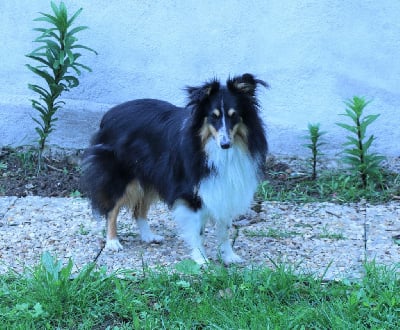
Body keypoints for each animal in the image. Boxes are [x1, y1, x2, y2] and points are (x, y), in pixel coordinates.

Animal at [80, 73, 268, 264]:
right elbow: (197, 231)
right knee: (112, 208)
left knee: (139, 209)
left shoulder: (223, 188)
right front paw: (202, 260)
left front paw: (229, 257)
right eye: (213, 117)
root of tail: (109, 114)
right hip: (123, 176)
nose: (225, 144)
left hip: (152, 176)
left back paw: (149, 236)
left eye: (234, 116)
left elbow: (224, 229)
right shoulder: (191, 192)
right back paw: (112, 242)